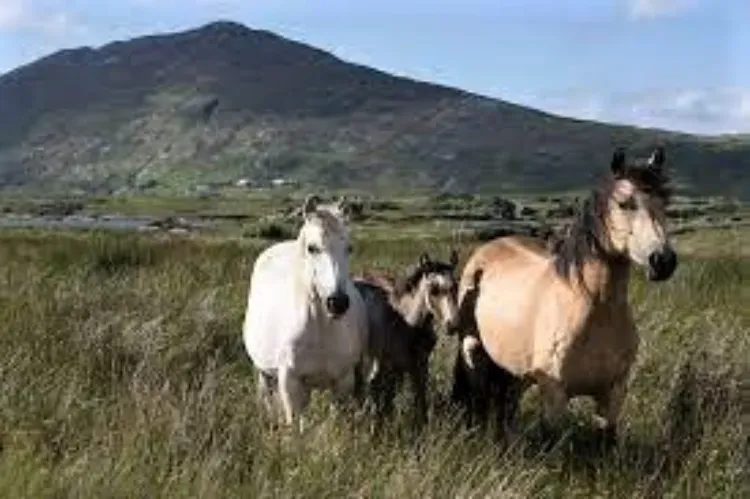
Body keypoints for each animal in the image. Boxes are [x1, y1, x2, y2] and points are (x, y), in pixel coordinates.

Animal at [242, 194, 368, 430]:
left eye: (349, 248)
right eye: (312, 248)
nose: (337, 302)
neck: (321, 328)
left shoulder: (342, 382)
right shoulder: (290, 384)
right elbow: (296, 427)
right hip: (264, 373)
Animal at [354, 252, 464, 428]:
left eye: (456, 286)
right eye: (433, 290)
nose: (453, 325)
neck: (407, 323)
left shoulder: (419, 367)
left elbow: (420, 403)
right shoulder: (391, 367)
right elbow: (386, 402)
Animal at [452, 146, 680, 444]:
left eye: (665, 203)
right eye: (624, 203)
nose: (663, 261)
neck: (595, 311)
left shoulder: (613, 396)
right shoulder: (554, 395)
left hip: (513, 370)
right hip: (474, 354)